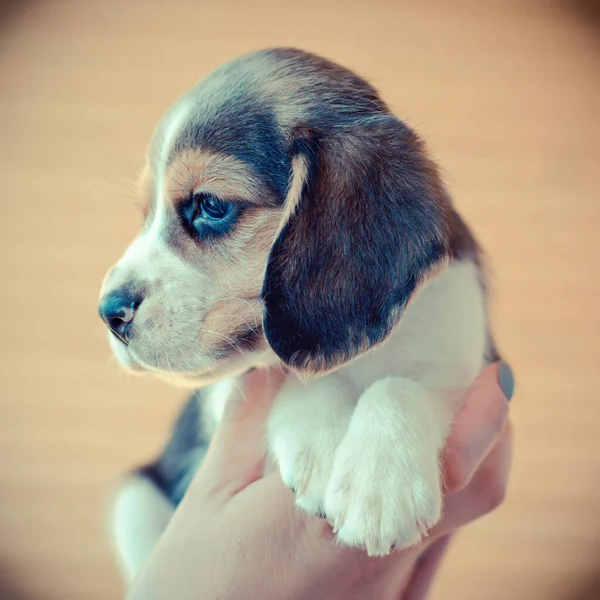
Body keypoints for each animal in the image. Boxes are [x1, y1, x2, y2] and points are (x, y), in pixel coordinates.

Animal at [99, 50, 496, 576]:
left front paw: (379, 485)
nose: (107, 311)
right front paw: (324, 443)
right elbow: (290, 374)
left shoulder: (463, 342)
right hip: (134, 498)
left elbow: (401, 385)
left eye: (210, 205)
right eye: (145, 214)